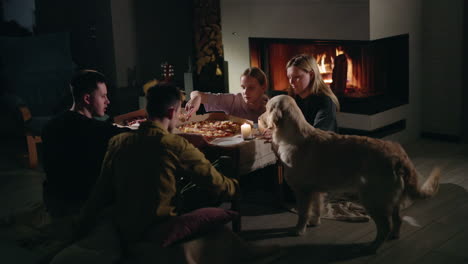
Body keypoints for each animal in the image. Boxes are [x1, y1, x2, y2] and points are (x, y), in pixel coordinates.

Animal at [258, 95, 440, 254]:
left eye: (267, 109)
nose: (258, 119)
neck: (294, 135)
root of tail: (400, 156)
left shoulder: (303, 191)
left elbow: (303, 213)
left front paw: (298, 231)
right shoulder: (315, 190)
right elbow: (316, 209)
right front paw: (314, 223)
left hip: (373, 200)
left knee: (385, 227)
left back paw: (372, 248)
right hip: (391, 200)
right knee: (398, 220)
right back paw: (394, 236)